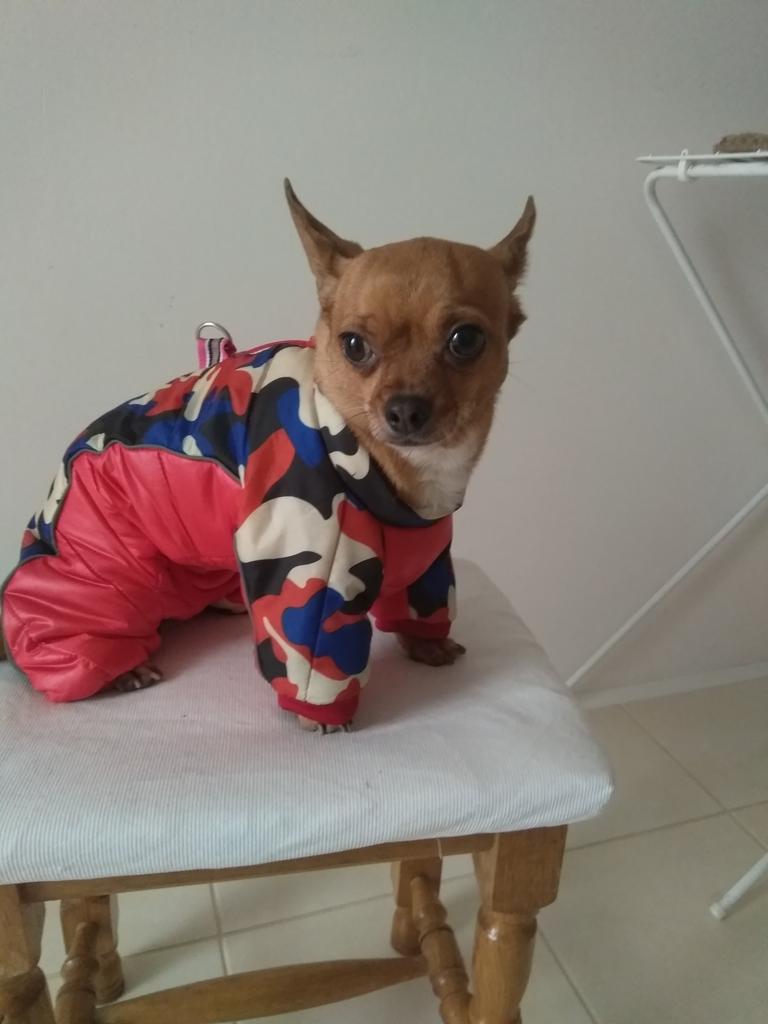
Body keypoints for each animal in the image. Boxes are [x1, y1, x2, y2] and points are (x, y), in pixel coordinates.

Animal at [0, 181, 535, 732]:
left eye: (466, 340)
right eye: (353, 345)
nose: (405, 409)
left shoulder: (426, 547)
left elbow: (422, 598)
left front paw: (427, 643)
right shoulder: (318, 559)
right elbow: (314, 651)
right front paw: (322, 714)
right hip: (100, 579)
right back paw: (116, 667)